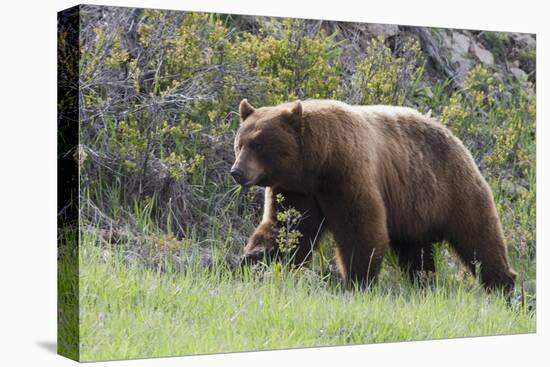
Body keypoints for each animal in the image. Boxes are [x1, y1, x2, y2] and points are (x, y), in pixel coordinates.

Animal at [232, 99, 516, 292]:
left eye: (259, 145)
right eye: (239, 144)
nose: (237, 171)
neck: (317, 162)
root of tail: (454, 136)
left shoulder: (348, 174)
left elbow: (361, 228)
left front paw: (357, 280)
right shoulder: (297, 190)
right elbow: (288, 228)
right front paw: (252, 258)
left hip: (453, 188)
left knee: (479, 238)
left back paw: (504, 285)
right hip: (413, 209)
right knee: (417, 253)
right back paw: (424, 283)